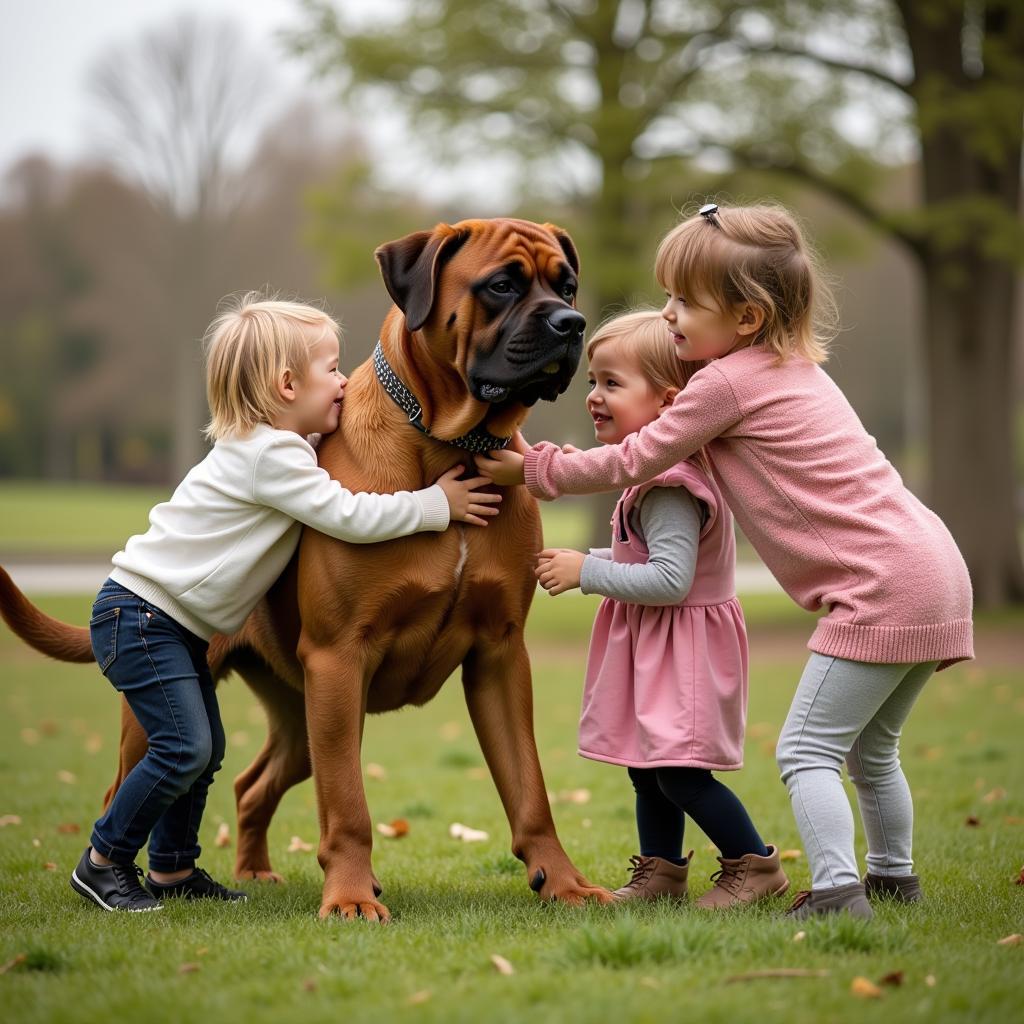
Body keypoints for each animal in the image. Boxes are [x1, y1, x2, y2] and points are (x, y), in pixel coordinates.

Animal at [0, 216, 610, 921]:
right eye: (502, 285)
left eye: (567, 285)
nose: (571, 322)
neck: (446, 443)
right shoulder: (339, 658)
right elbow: (348, 803)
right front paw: (349, 896)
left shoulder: (499, 654)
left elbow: (529, 789)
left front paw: (563, 882)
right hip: (192, 706)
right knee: (135, 788)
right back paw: (114, 879)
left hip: (298, 717)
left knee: (248, 781)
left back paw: (245, 873)